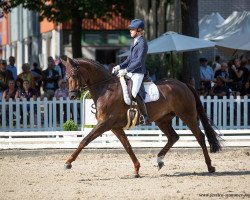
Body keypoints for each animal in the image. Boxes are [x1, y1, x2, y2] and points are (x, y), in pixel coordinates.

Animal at [62, 57, 221, 177]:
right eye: (66, 76)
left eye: (74, 75)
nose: (72, 96)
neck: (105, 89)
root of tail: (184, 84)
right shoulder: (114, 127)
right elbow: (127, 146)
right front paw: (137, 169)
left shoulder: (104, 123)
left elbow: (84, 140)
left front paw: (68, 162)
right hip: (162, 120)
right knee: (173, 137)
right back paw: (159, 160)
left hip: (187, 115)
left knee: (200, 136)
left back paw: (210, 166)